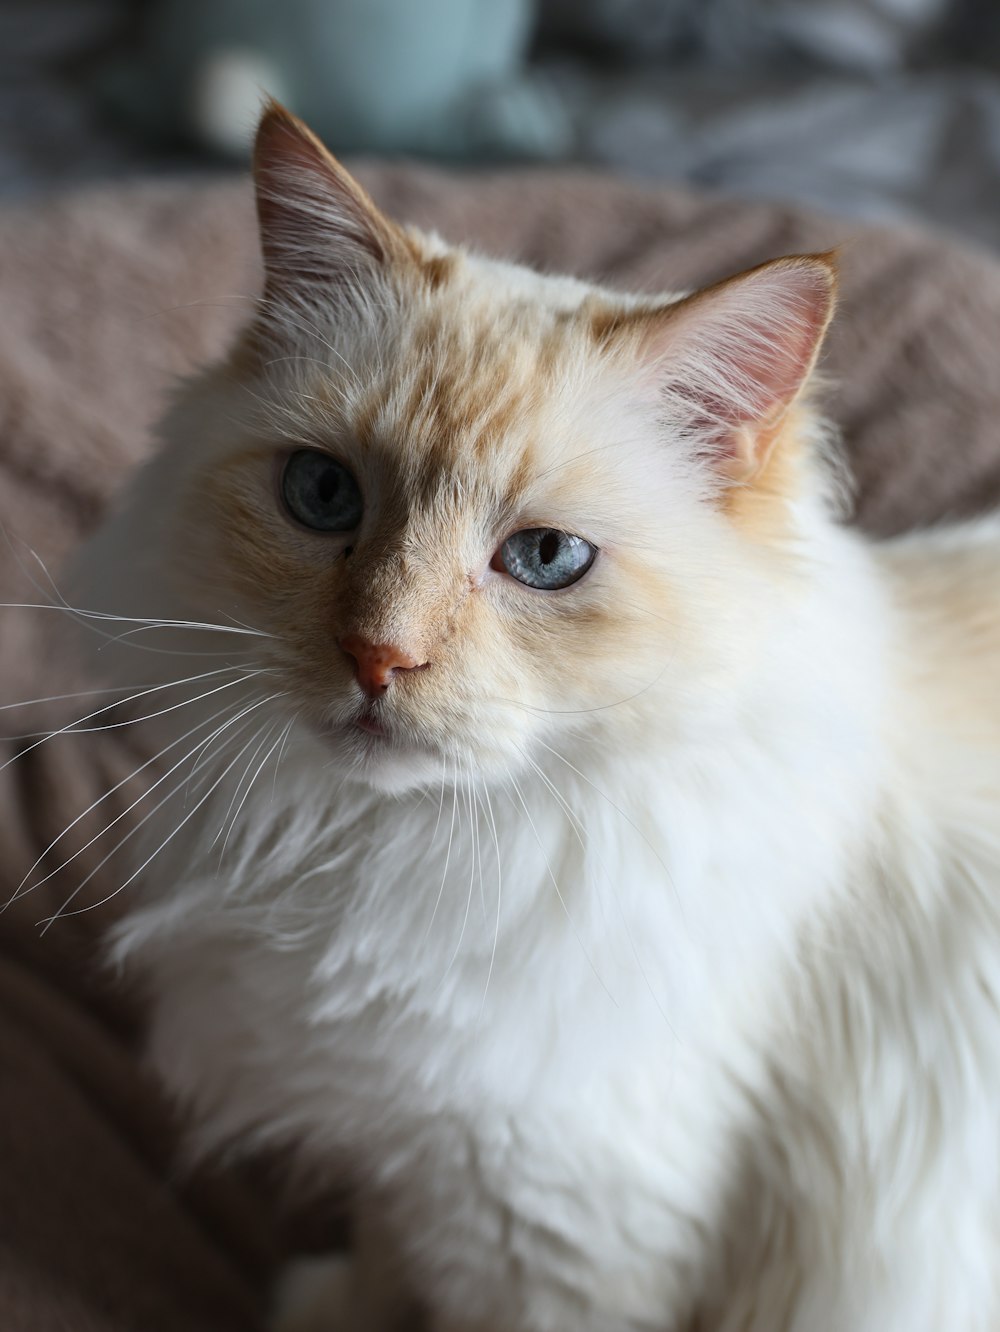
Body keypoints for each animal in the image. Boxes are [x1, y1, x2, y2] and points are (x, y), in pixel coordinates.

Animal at [68, 103, 1000, 1332]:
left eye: (545, 558)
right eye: (324, 495)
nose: (377, 655)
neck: (386, 852)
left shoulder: (552, 1230)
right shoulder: (412, 1158)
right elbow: (383, 1255)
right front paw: (328, 1308)